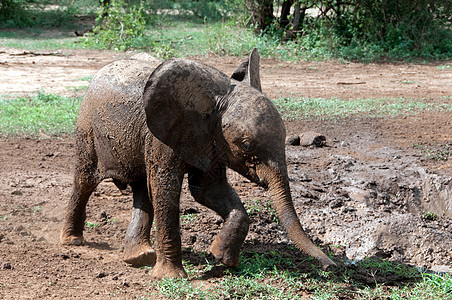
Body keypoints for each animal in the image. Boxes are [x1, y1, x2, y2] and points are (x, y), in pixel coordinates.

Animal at [61, 48, 336, 278]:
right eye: (247, 145)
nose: (332, 266)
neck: (217, 97)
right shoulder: (164, 135)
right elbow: (167, 188)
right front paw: (171, 278)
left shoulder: (211, 140)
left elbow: (208, 190)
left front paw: (221, 258)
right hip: (87, 127)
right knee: (85, 180)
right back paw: (72, 242)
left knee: (142, 188)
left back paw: (139, 258)